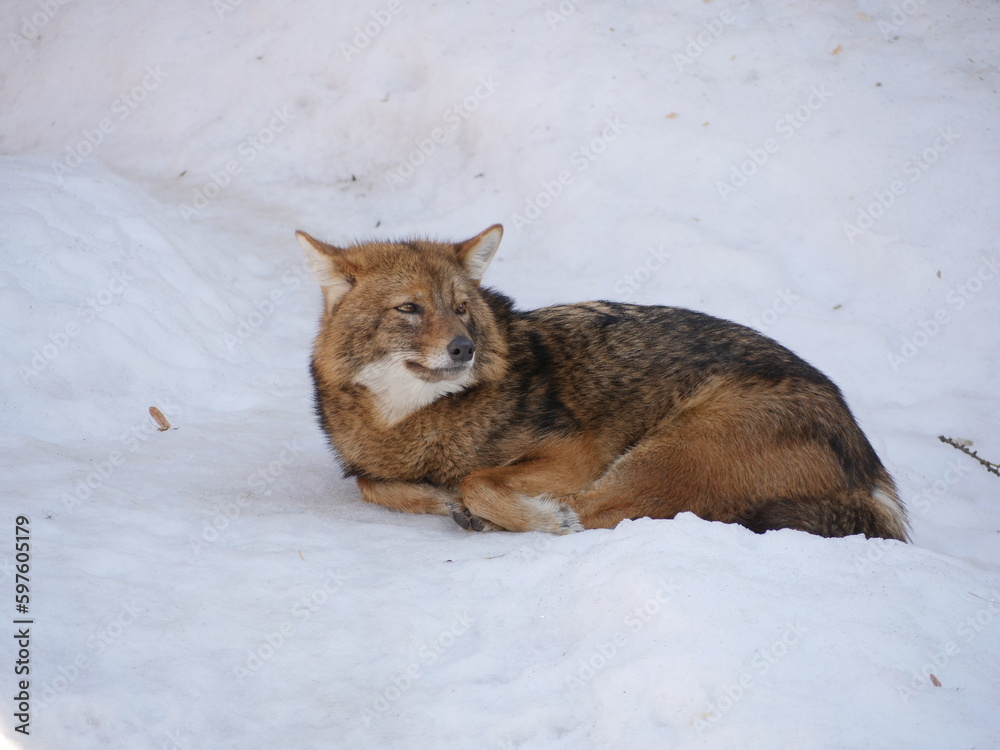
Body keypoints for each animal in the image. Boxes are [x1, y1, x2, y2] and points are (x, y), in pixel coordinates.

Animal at [296, 224, 908, 541]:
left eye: (462, 309)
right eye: (410, 308)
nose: (464, 348)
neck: (414, 427)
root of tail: (871, 469)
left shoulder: (575, 450)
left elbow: (476, 478)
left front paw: (499, 505)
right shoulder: (369, 467)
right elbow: (374, 484)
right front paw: (431, 496)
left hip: (673, 446)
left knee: (603, 513)